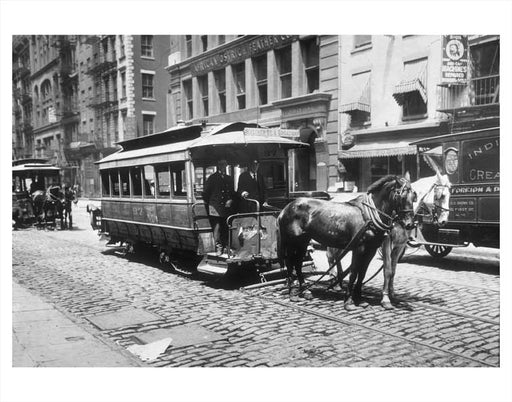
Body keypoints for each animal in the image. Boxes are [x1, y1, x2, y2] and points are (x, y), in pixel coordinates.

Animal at [276, 174, 416, 310]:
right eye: (402, 196)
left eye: (413, 196)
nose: (410, 224)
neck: (368, 217)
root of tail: (286, 208)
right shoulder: (359, 248)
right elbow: (354, 273)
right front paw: (348, 301)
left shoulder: (371, 249)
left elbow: (362, 274)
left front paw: (359, 299)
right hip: (292, 242)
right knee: (290, 263)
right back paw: (293, 293)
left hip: (303, 241)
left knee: (298, 263)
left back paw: (305, 291)